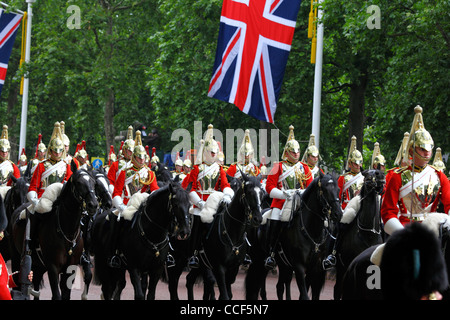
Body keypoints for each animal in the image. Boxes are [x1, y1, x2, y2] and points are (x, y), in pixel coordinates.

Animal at [11, 162, 98, 300]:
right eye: (79, 182)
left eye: (94, 183)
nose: (93, 205)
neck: (67, 231)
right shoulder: (53, 267)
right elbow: (57, 295)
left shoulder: (70, 268)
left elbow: (65, 295)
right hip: (16, 257)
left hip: (39, 265)